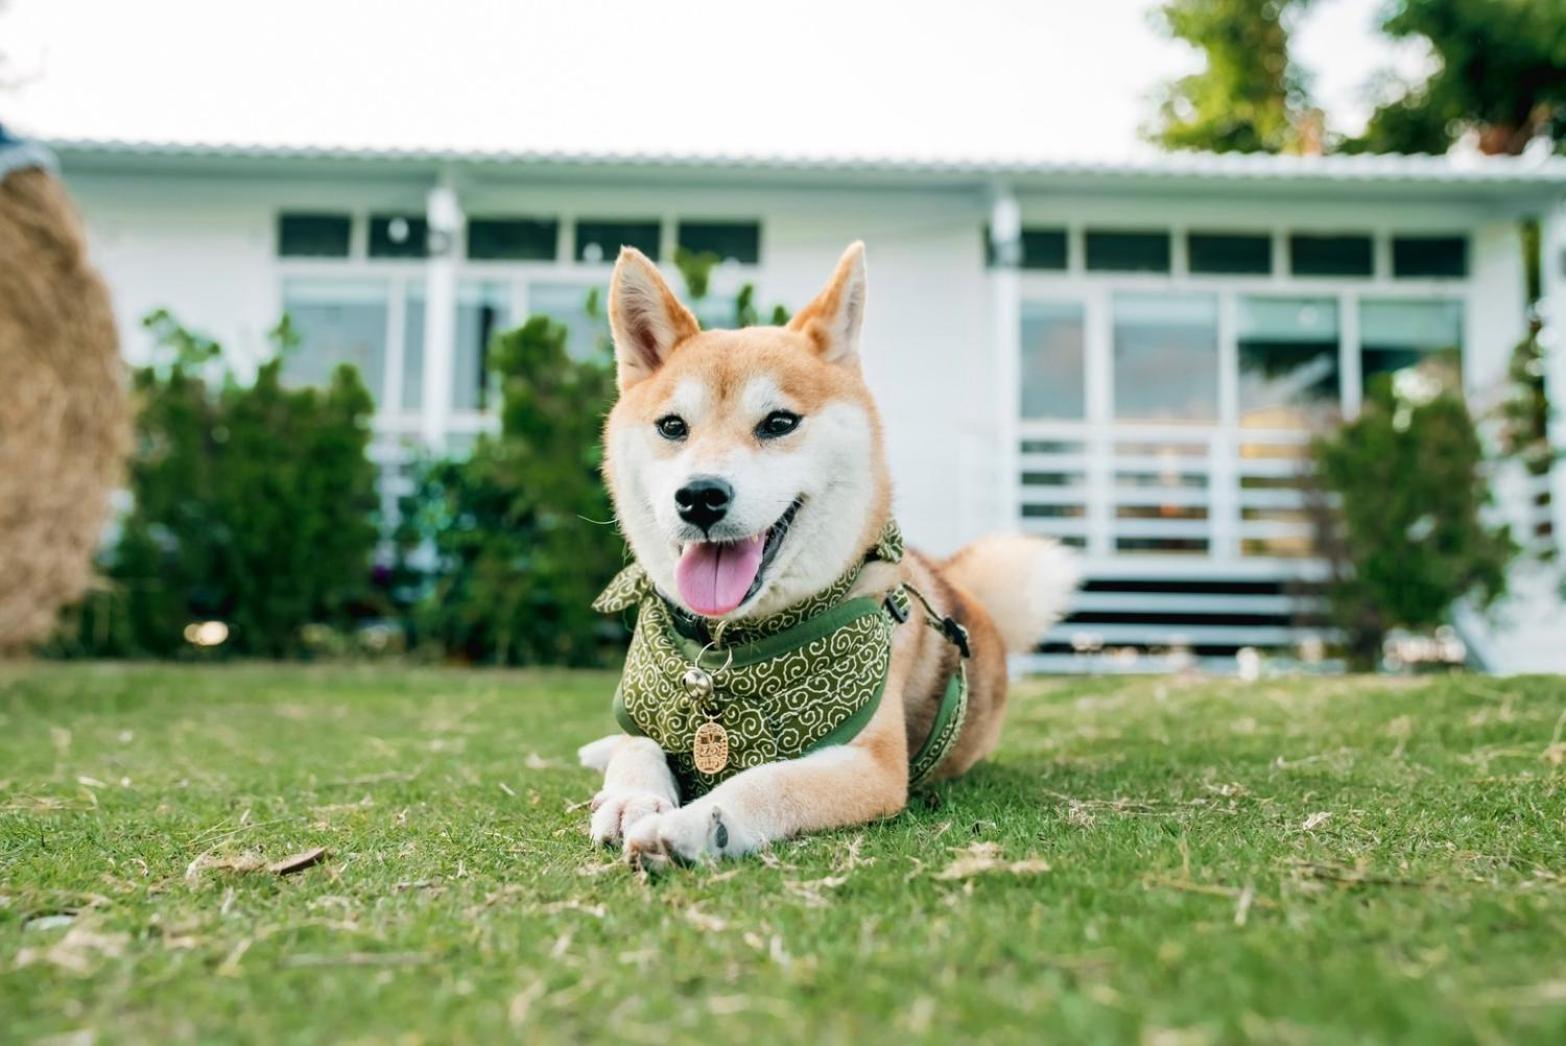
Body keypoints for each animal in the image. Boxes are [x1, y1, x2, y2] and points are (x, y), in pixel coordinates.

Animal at [579, 241, 1077, 864]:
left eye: (778, 422)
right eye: (672, 426)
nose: (699, 497)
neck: (730, 647)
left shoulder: (871, 766)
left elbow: (770, 783)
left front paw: (698, 825)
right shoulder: (650, 716)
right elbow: (636, 745)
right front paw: (631, 797)